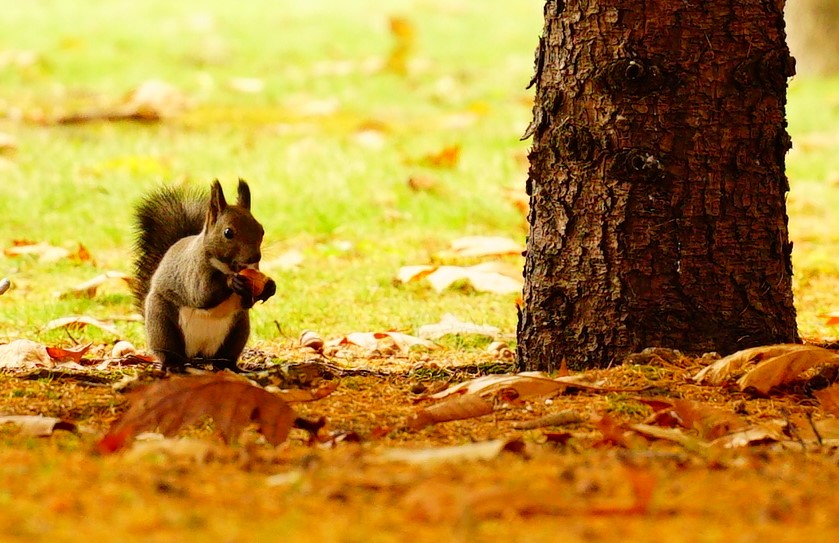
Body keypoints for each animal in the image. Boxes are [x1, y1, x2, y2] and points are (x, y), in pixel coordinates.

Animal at [132, 179, 276, 372]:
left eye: (261, 230)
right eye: (228, 232)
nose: (255, 257)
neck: (228, 267)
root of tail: (197, 355)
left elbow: (248, 302)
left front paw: (269, 286)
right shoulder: (192, 272)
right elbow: (201, 295)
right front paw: (232, 282)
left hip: (238, 330)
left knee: (224, 358)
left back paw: (232, 367)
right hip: (162, 326)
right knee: (170, 353)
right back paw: (173, 365)